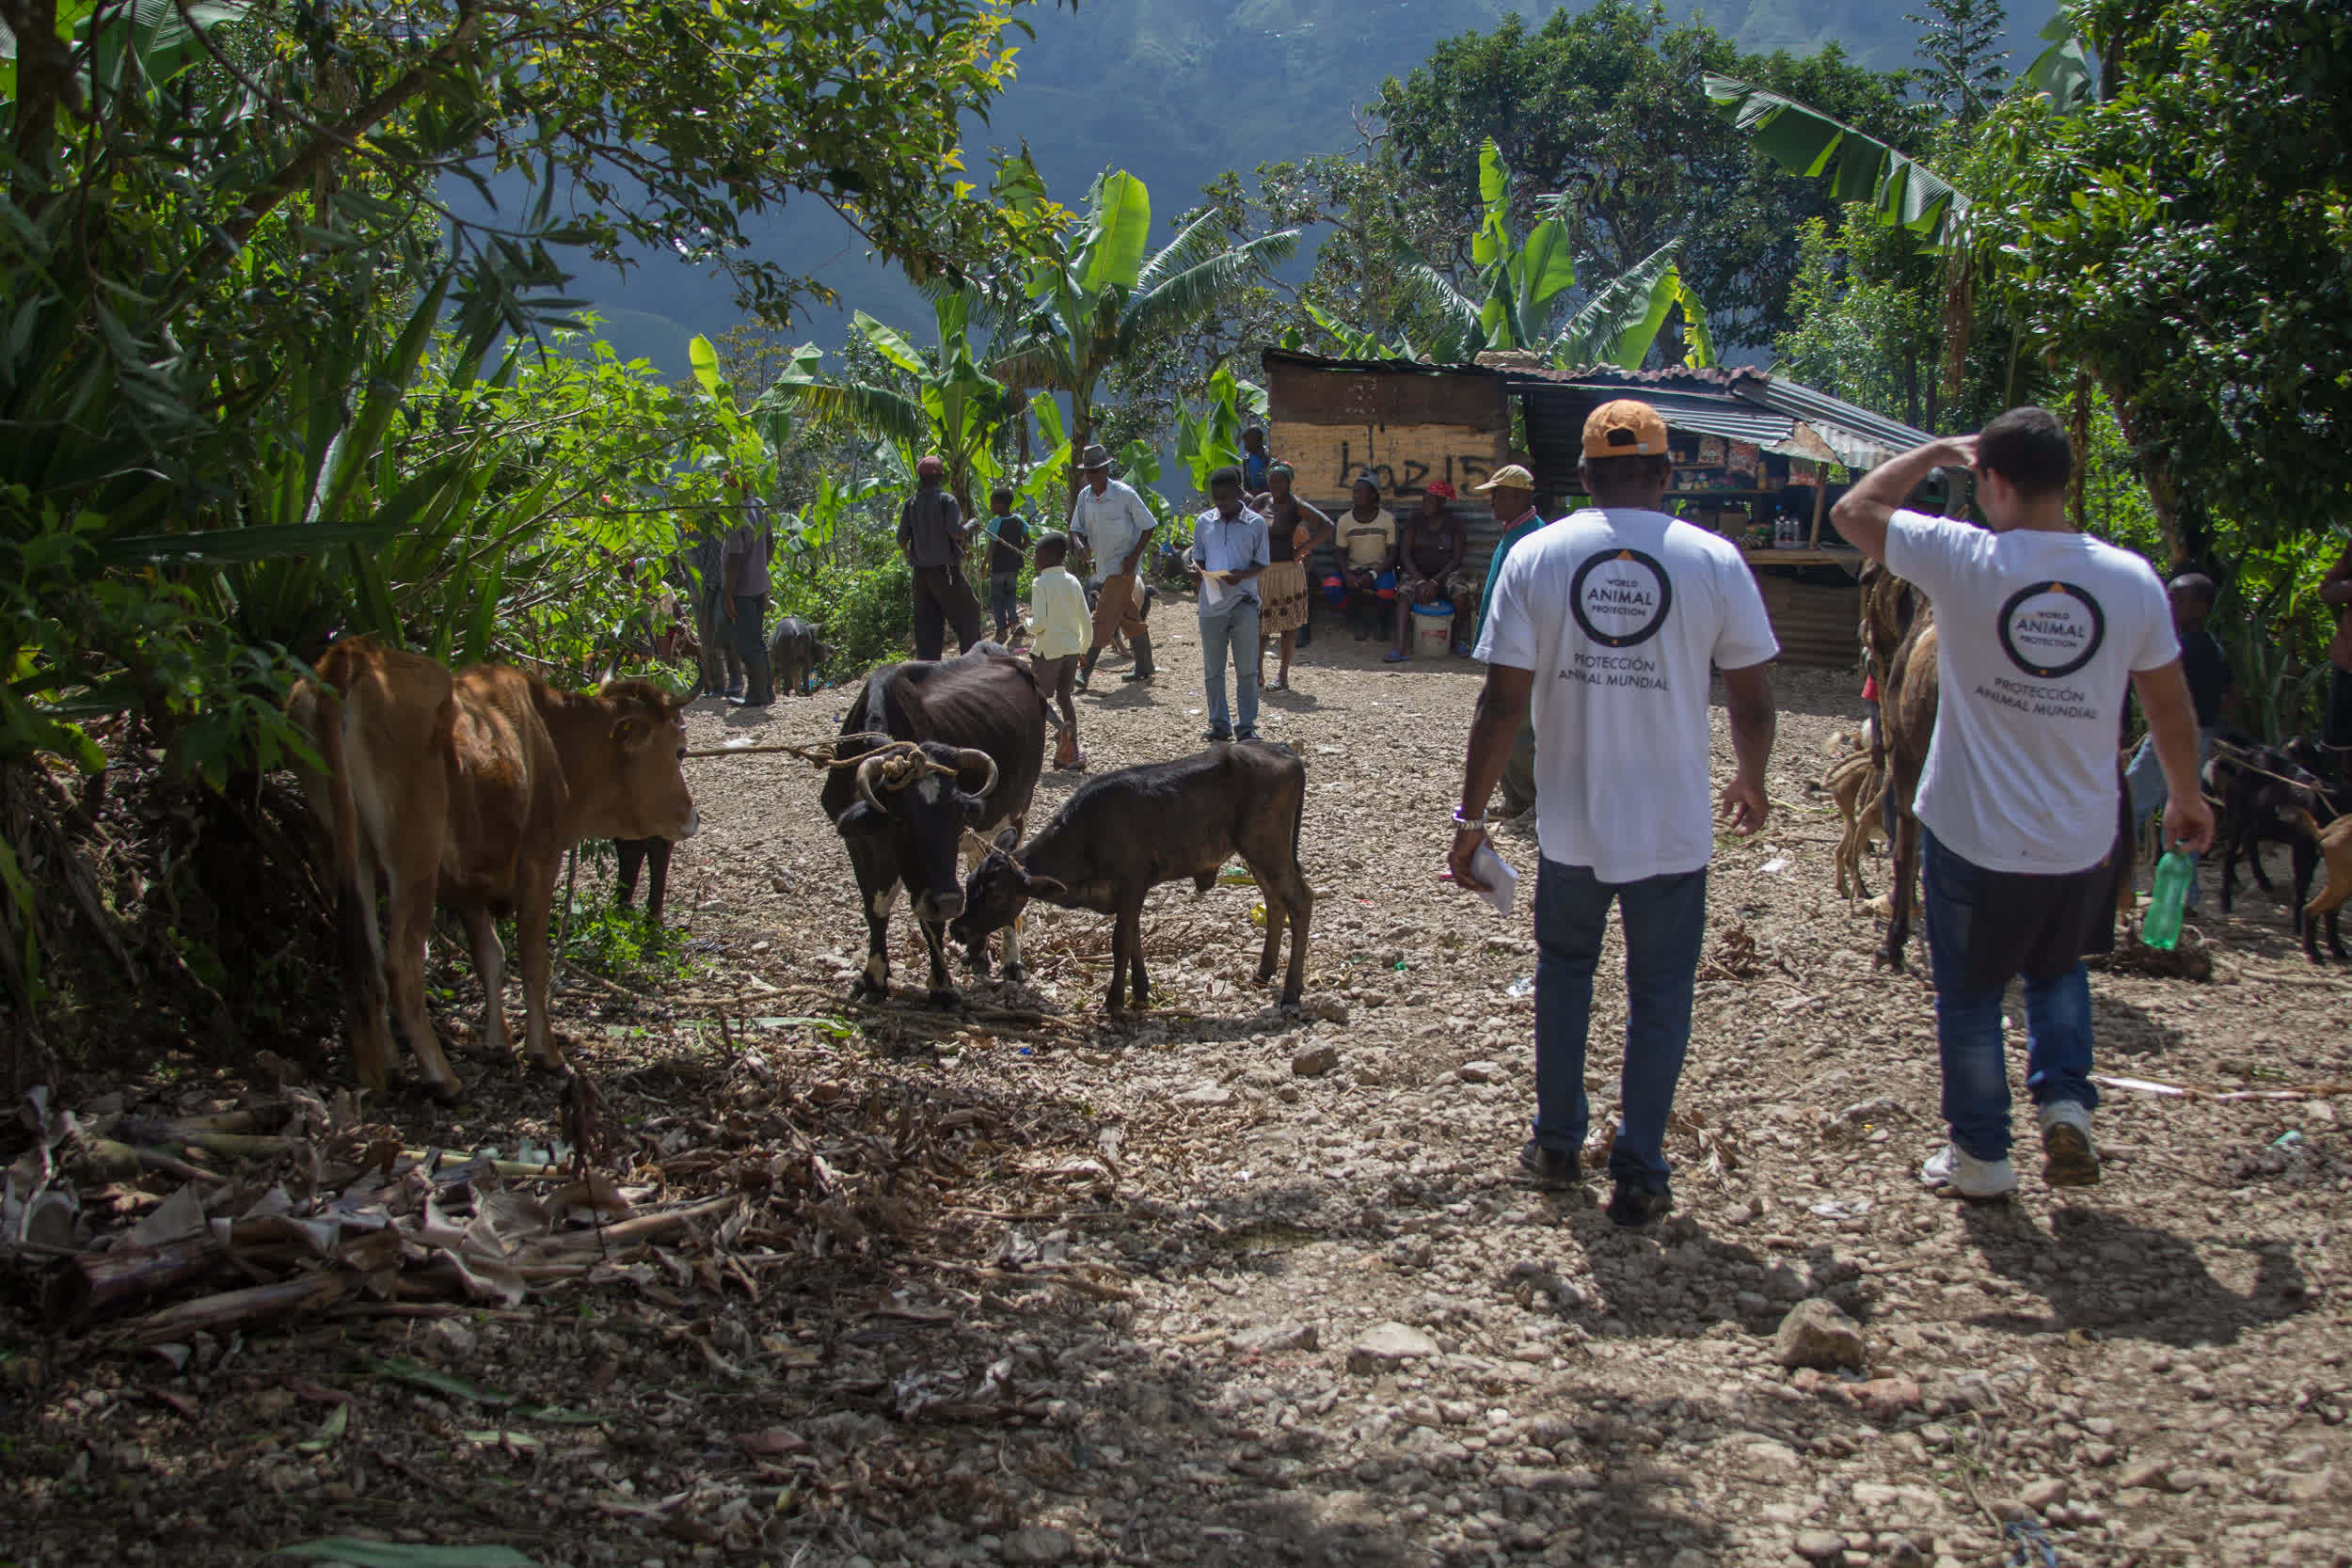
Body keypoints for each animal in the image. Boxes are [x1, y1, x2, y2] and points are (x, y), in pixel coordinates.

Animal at [828, 648, 1049, 1006]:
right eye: (901, 820)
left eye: (957, 817)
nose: (948, 901)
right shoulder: (861, 844)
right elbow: (875, 909)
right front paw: (873, 978)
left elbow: (931, 921)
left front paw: (942, 987)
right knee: (977, 861)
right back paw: (976, 952)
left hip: (1018, 809)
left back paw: (1010, 960)